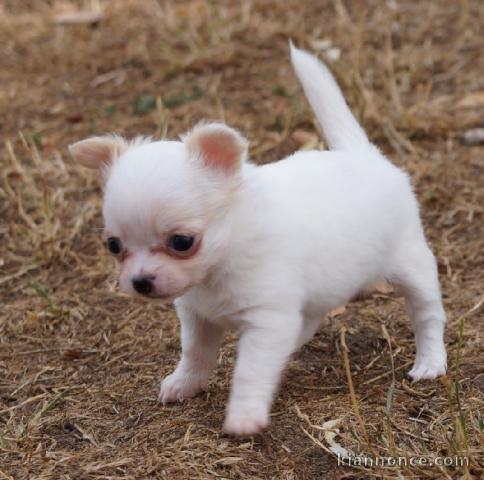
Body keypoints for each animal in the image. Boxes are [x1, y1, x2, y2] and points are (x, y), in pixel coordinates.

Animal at [70, 44, 448, 436]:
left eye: (182, 242)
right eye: (114, 246)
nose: (141, 281)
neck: (223, 259)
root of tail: (363, 154)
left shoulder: (267, 321)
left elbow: (250, 372)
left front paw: (244, 416)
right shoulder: (198, 315)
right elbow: (195, 354)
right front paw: (185, 384)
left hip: (411, 266)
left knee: (428, 314)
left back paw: (430, 361)